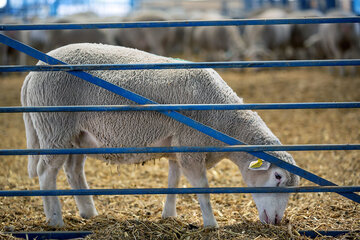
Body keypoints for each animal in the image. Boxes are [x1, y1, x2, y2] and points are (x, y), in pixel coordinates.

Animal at [21, 42, 300, 227]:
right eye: (277, 176)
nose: (277, 221)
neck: (223, 120)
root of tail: (33, 72)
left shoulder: (177, 147)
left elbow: (173, 182)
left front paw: (169, 215)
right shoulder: (190, 147)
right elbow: (203, 190)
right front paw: (211, 225)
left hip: (78, 134)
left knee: (73, 170)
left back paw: (89, 212)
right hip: (54, 126)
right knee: (47, 173)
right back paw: (56, 221)